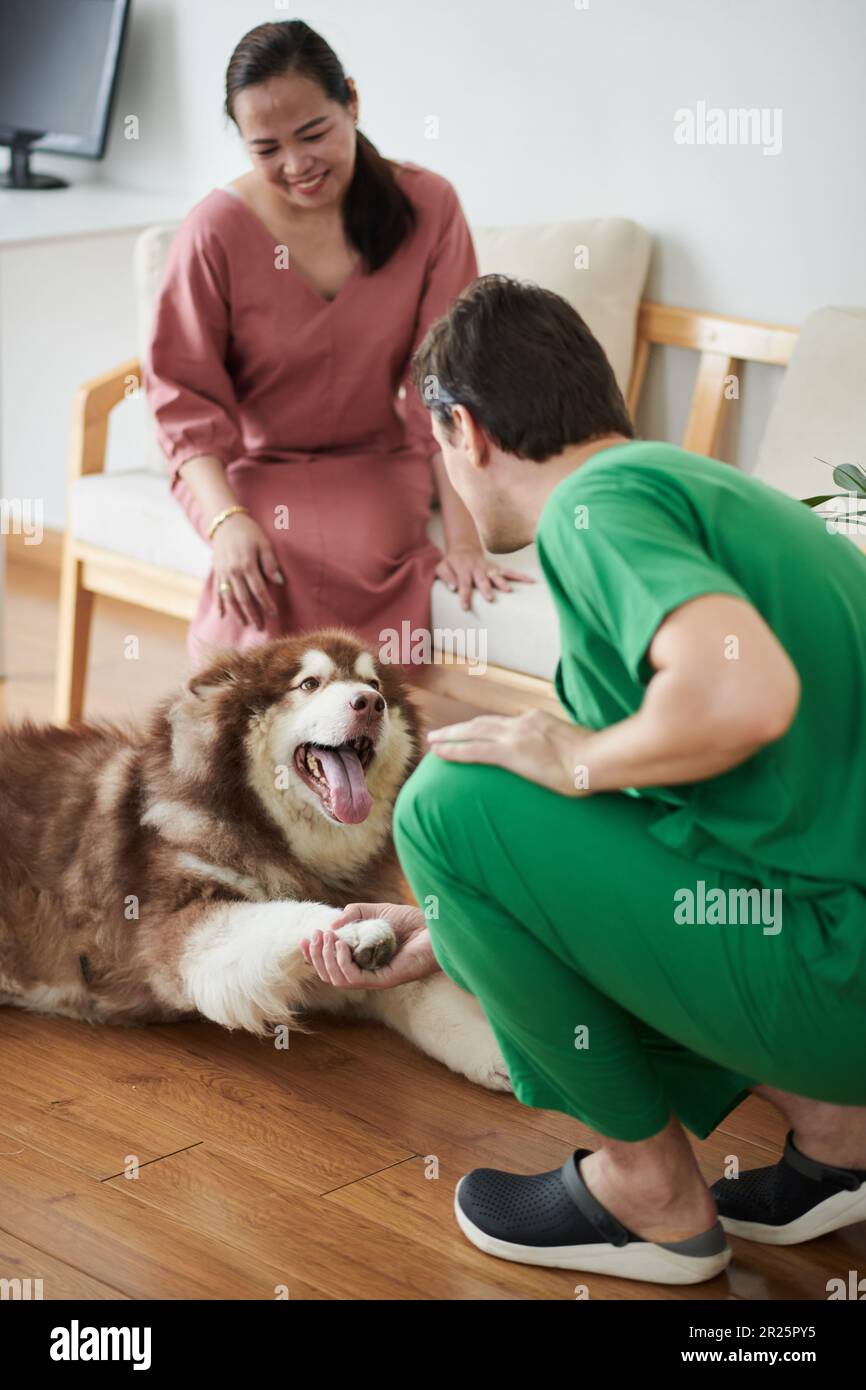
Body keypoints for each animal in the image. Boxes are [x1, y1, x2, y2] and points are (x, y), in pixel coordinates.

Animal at [0, 633, 511, 1095]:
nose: (370, 703)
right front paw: (352, 930)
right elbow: (281, 914)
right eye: (309, 684)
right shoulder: (181, 932)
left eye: (373, 683)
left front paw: (498, 1053)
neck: (294, 849)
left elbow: (424, 996)